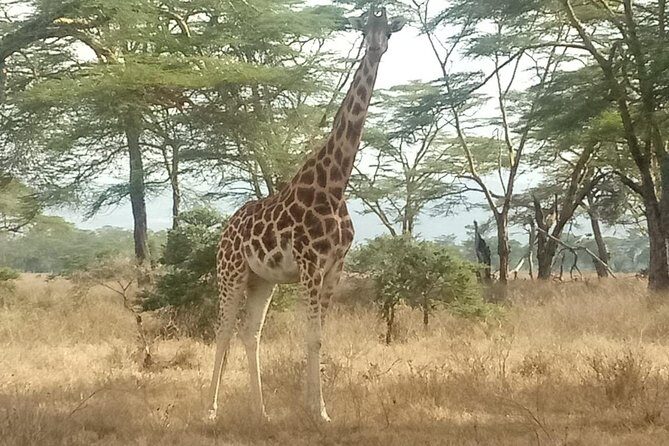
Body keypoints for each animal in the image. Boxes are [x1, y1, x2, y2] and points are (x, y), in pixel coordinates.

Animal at [209, 7, 405, 423]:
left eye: (389, 31)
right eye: (365, 29)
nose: (375, 48)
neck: (335, 184)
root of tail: (225, 228)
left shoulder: (335, 267)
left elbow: (318, 337)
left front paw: (312, 407)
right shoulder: (310, 264)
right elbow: (311, 336)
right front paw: (320, 412)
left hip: (261, 279)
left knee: (251, 332)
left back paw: (261, 412)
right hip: (231, 272)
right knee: (222, 330)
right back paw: (211, 410)